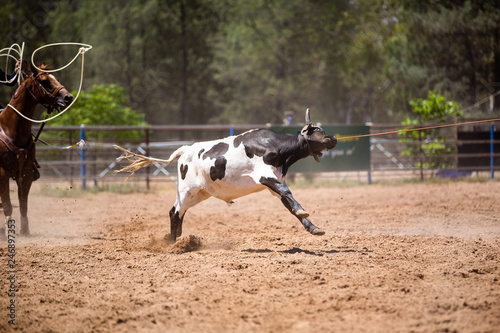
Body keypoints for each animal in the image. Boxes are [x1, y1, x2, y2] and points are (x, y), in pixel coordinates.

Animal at [0, 61, 73, 233]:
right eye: (44, 81)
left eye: (56, 78)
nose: (68, 97)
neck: (11, 129)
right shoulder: (2, 173)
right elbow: (7, 205)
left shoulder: (26, 173)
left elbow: (23, 205)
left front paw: (25, 231)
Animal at [115, 109, 338, 241]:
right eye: (319, 131)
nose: (334, 138)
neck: (274, 145)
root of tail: (185, 150)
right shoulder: (264, 175)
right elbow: (286, 192)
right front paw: (303, 212)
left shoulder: (273, 182)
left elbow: (287, 200)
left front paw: (313, 227)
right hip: (186, 189)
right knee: (175, 212)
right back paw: (174, 243)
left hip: (201, 193)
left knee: (179, 211)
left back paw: (178, 240)